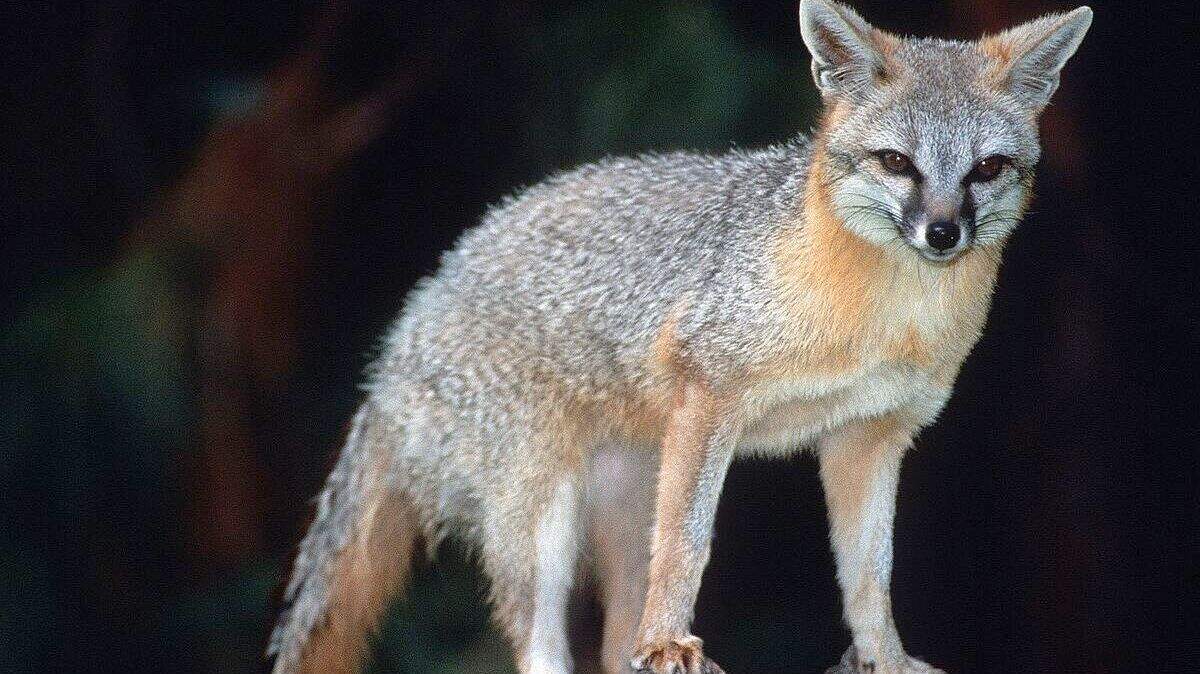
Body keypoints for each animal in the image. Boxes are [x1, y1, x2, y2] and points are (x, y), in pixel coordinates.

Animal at [267, 2, 1092, 673]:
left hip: (627, 504)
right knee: (542, 642)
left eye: (987, 169)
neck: (884, 319)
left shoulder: (868, 435)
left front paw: (885, 658)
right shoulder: (710, 396)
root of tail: (401, 338)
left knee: (612, 642)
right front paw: (670, 640)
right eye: (898, 163)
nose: (943, 234)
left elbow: (870, 574)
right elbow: (691, 546)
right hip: (542, 520)